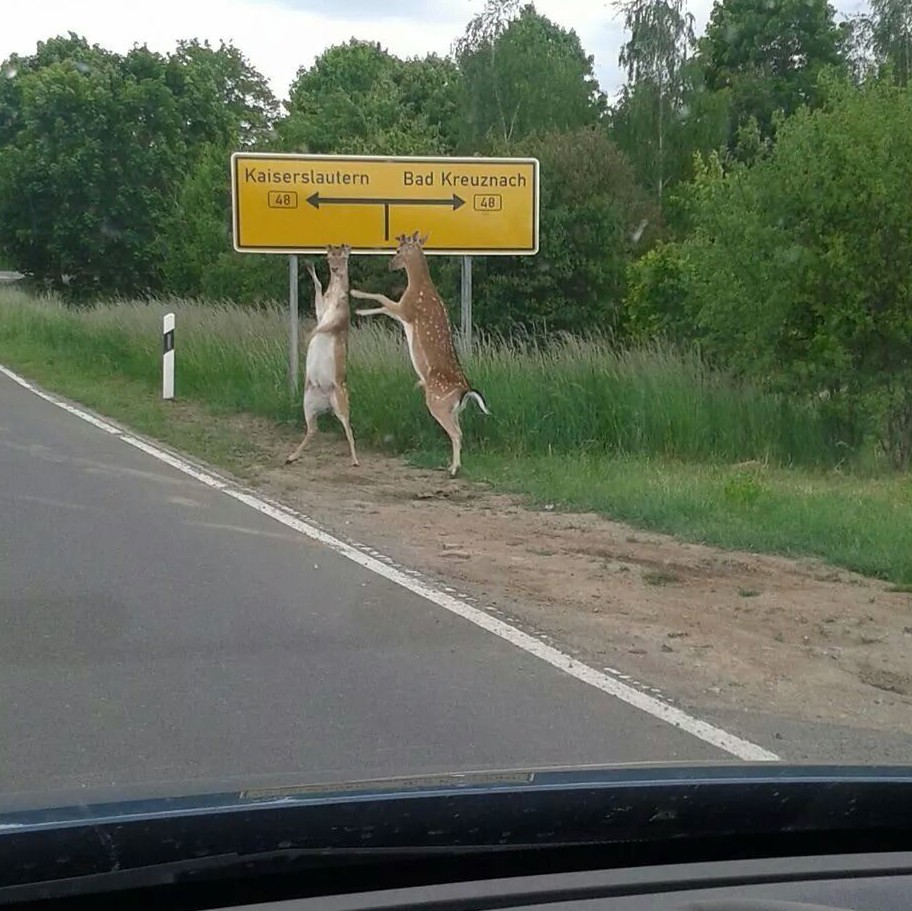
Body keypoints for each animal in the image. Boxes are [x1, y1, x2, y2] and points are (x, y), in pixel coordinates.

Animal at [284, 244, 360, 464]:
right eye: (329, 256)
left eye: (343, 256)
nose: (335, 269)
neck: (334, 295)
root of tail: (326, 402)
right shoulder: (321, 311)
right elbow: (318, 292)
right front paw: (309, 266)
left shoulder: (337, 318)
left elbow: (321, 327)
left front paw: (306, 339)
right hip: (308, 402)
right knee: (314, 428)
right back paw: (291, 456)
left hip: (341, 404)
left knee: (349, 429)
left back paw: (355, 460)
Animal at [350, 230, 492, 478]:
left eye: (398, 250)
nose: (390, 264)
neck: (419, 285)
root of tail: (464, 392)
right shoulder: (402, 311)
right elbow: (384, 304)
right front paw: (358, 309)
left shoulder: (405, 309)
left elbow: (382, 299)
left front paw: (354, 296)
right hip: (454, 410)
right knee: (458, 431)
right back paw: (452, 465)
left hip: (437, 403)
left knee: (456, 433)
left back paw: (453, 469)